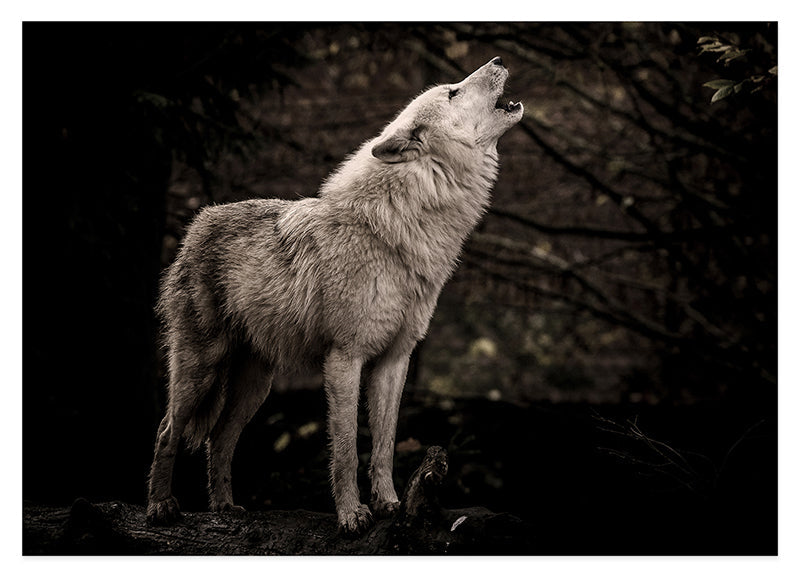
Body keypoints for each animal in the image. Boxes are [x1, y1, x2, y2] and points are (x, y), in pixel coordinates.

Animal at [147, 56, 523, 535]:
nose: (497, 60)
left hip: (257, 384)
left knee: (219, 437)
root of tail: (199, 222)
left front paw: (390, 504)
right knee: (167, 429)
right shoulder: (345, 358)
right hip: (201, 367)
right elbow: (345, 449)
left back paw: (224, 507)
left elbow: (383, 445)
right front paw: (351, 515)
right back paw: (160, 506)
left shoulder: (394, 360)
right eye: (453, 91)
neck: (396, 232)